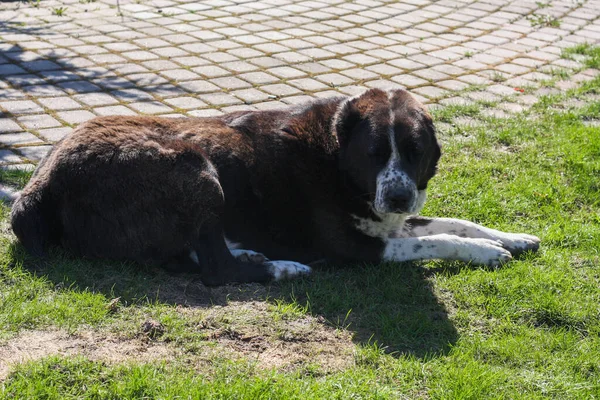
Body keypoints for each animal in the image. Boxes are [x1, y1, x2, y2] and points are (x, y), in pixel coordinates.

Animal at [11, 89, 540, 286]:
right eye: (374, 153)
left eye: (414, 151)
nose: (397, 196)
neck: (332, 154)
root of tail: (37, 189)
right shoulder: (354, 245)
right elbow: (438, 239)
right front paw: (487, 253)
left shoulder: (387, 220)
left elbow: (455, 221)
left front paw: (509, 237)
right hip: (195, 167)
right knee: (215, 270)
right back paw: (280, 267)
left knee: (192, 256)